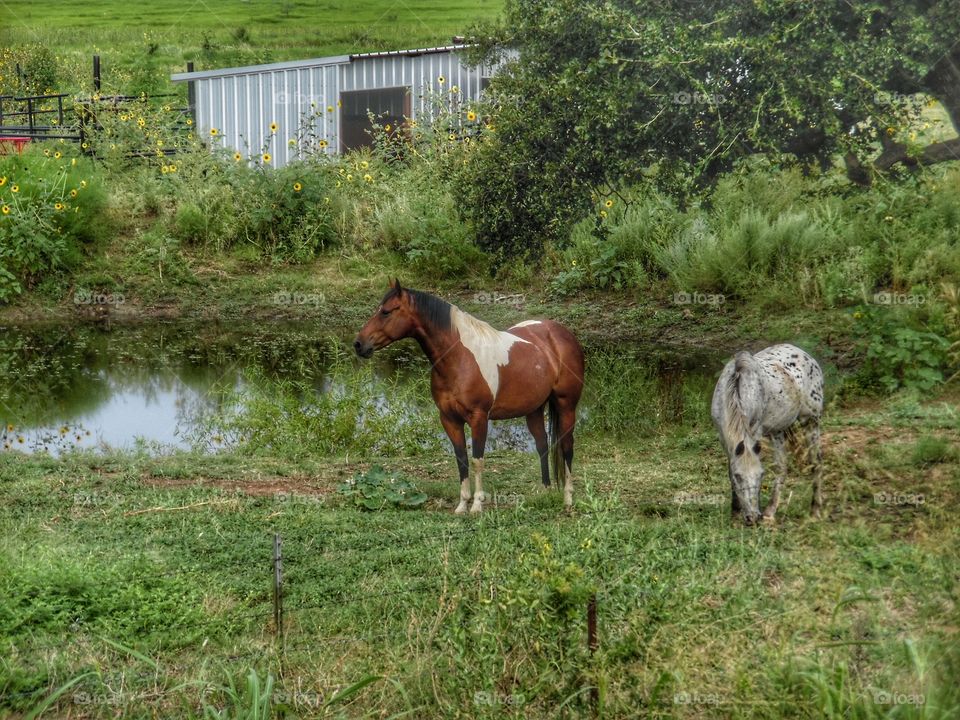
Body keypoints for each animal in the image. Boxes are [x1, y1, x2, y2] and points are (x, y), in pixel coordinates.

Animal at [354, 280, 585, 513]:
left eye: (386, 312)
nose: (359, 344)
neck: (460, 359)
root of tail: (560, 332)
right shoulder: (449, 419)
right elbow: (461, 459)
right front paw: (462, 505)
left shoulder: (479, 418)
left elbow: (477, 460)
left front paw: (476, 505)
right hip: (534, 409)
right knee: (542, 446)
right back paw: (545, 492)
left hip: (566, 406)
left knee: (567, 448)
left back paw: (568, 499)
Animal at [710, 343, 824, 525]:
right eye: (738, 476)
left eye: (761, 475)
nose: (753, 517)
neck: (737, 388)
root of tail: (807, 357)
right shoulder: (724, 437)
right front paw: (734, 513)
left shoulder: (755, 432)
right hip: (778, 432)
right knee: (782, 466)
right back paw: (771, 511)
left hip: (811, 421)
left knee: (817, 462)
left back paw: (814, 510)